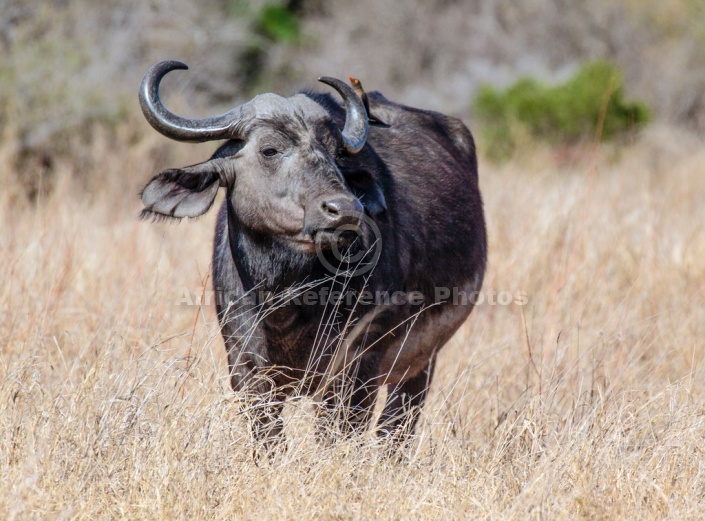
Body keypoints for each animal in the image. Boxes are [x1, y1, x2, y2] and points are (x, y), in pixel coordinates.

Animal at [140, 61, 486, 448]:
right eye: (270, 150)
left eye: (336, 154)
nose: (346, 210)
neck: (286, 300)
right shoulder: (246, 369)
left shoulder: (356, 367)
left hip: (420, 362)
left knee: (395, 431)